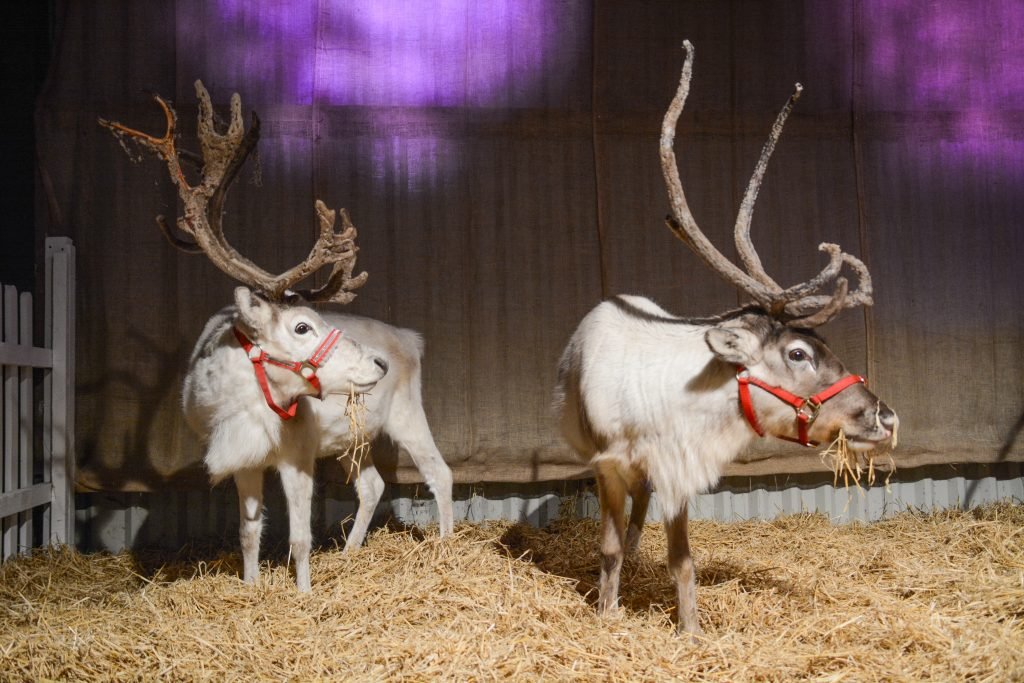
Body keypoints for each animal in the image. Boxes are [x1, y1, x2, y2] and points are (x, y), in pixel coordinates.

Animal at [100, 81, 454, 592]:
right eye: (301, 326)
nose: (378, 364)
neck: (241, 400)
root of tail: (411, 340)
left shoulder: (298, 454)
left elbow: (300, 536)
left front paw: (303, 593)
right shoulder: (243, 460)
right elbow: (249, 532)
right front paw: (250, 586)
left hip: (407, 413)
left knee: (439, 472)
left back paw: (446, 547)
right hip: (350, 439)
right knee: (372, 485)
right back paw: (349, 553)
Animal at [554, 41, 898, 637]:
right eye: (799, 353)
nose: (886, 417)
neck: (671, 401)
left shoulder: (678, 469)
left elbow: (683, 561)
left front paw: (690, 631)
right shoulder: (608, 466)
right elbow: (608, 547)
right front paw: (605, 611)